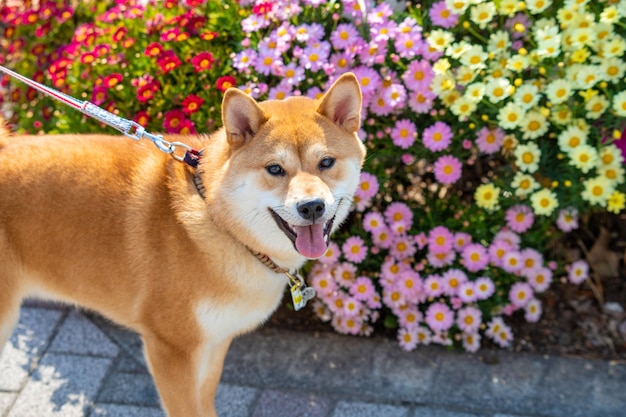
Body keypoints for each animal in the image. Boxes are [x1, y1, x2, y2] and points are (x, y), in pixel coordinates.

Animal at [0, 74, 366, 416]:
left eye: (326, 163)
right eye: (275, 169)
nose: (312, 206)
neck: (220, 222)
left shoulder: (215, 341)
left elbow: (205, 401)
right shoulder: (170, 349)